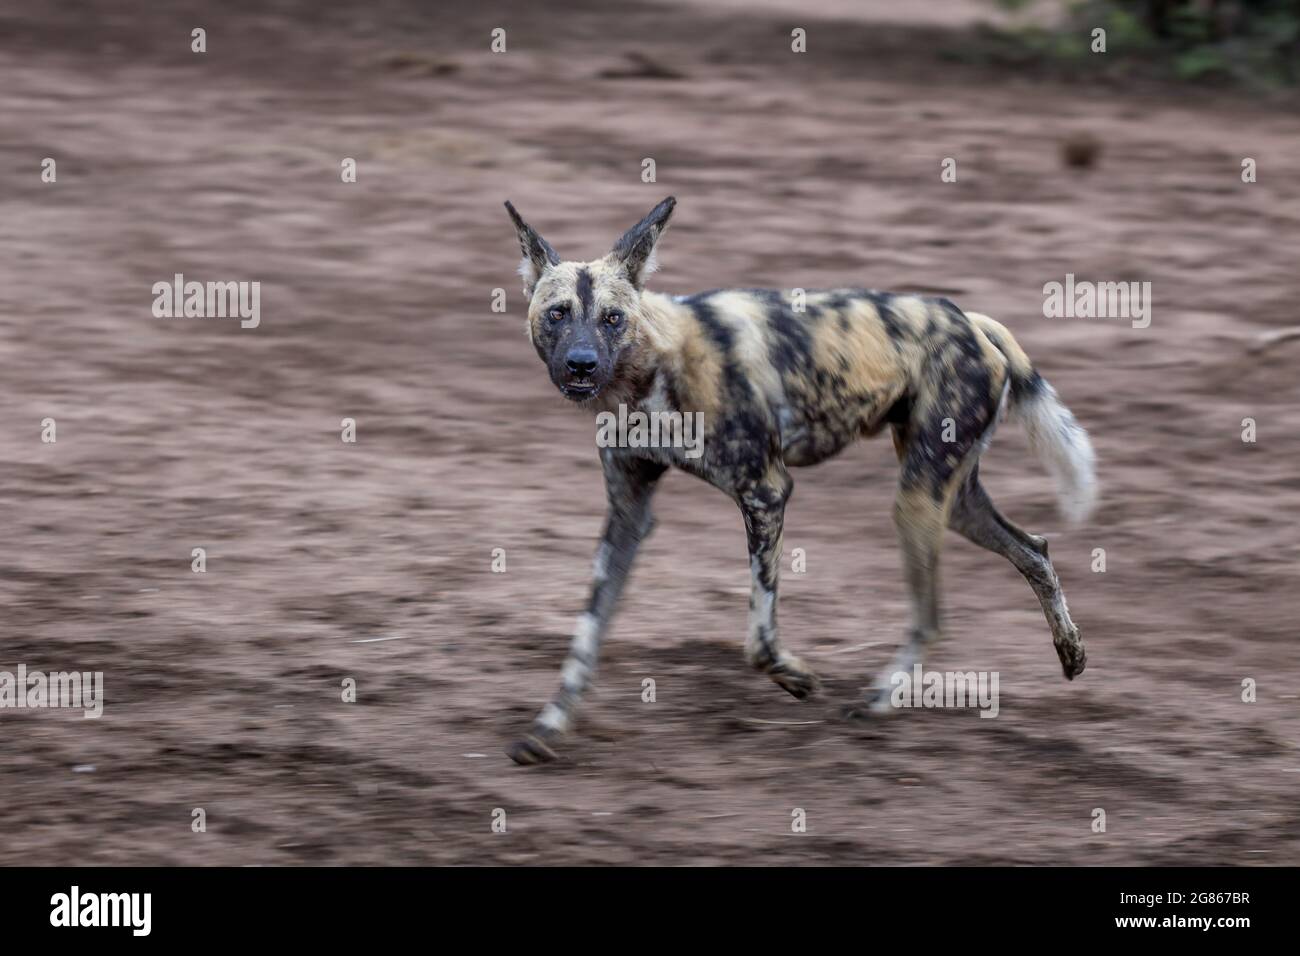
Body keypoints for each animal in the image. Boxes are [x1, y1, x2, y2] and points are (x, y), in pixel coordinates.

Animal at [506, 197, 1097, 764]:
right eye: (558, 314)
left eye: (611, 318)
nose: (582, 365)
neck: (649, 372)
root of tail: (971, 320)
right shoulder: (628, 515)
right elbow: (587, 632)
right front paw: (548, 726)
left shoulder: (766, 493)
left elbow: (758, 639)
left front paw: (798, 679)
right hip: (954, 502)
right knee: (1035, 549)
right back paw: (1071, 652)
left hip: (916, 499)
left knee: (931, 616)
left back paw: (877, 702)